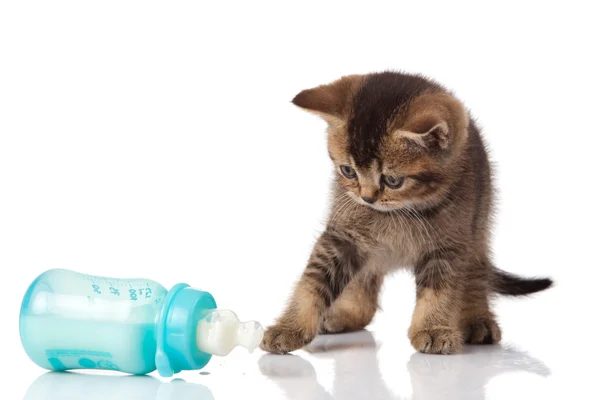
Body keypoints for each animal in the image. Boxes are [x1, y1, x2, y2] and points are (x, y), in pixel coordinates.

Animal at [262, 70, 552, 354]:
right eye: (348, 171)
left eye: (393, 180)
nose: (367, 198)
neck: (400, 212)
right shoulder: (342, 236)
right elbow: (313, 281)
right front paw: (289, 328)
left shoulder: (450, 243)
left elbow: (439, 289)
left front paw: (433, 329)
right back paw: (347, 314)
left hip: (479, 223)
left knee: (476, 272)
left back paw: (478, 321)